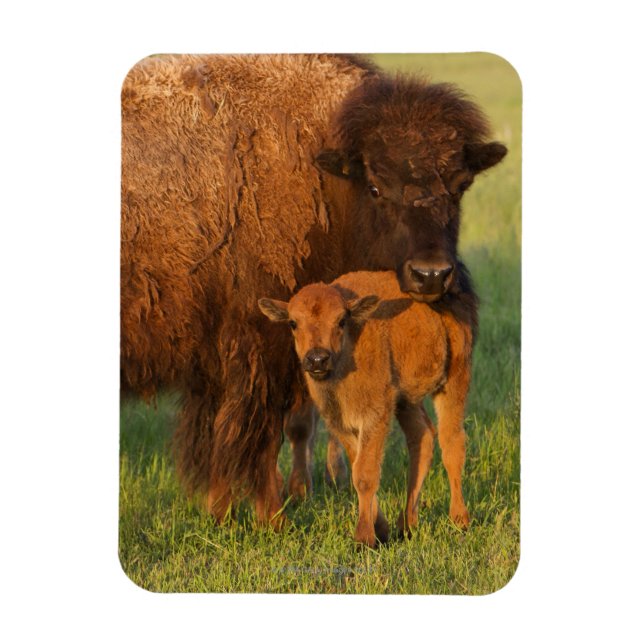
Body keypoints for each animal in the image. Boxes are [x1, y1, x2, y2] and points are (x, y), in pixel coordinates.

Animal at [259, 270, 473, 547]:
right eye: (293, 323)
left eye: (341, 320)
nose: (317, 359)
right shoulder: (341, 422)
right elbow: (357, 467)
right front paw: (380, 529)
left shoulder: (375, 416)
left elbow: (365, 474)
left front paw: (363, 538)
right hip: (406, 401)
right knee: (423, 437)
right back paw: (406, 525)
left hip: (454, 380)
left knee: (452, 442)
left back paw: (459, 519)